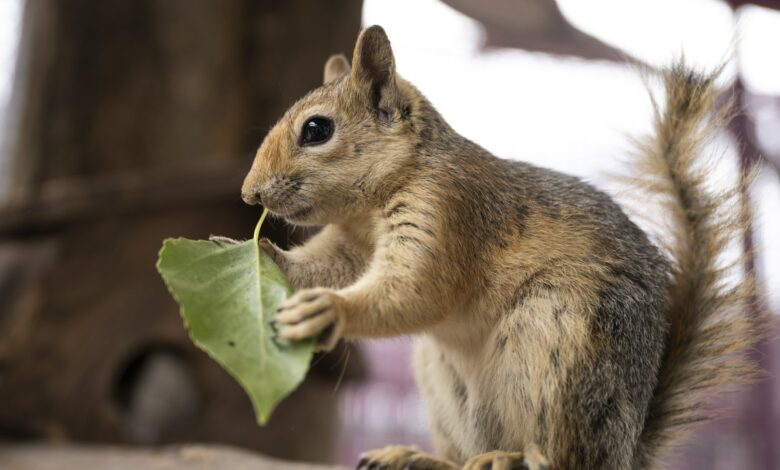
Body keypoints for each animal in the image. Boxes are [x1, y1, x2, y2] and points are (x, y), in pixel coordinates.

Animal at [238, 24, 760, 470]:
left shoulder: (450, 211)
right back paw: (418, 456)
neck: (370, 206)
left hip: (556, 335)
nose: (249, 195)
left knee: (561, 456)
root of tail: (627, 452)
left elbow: (416, 290)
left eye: (316, 130)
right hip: (445, 380)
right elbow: (326, 267)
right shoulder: (352, 245)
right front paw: (254, 252)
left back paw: (510, 458)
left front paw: (329, 310)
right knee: (464, 454)